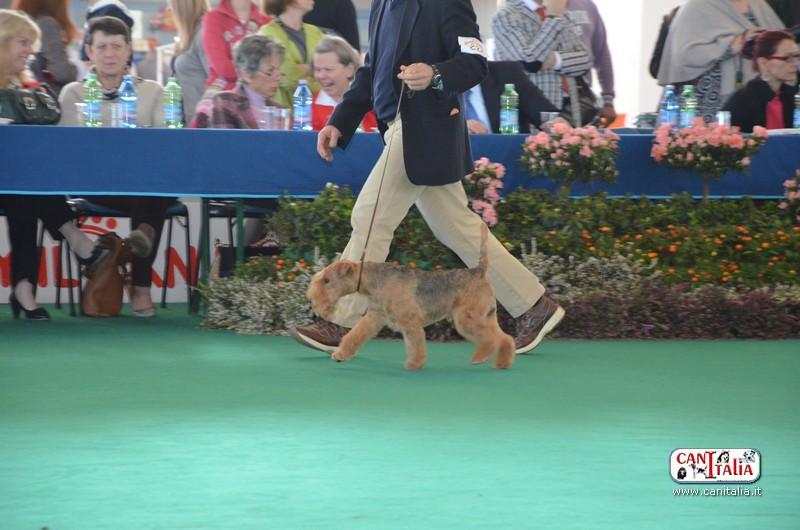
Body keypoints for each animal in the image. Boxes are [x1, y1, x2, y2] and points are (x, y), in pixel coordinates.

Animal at [305, 224, 516, 370]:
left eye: (327, 280)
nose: (311, 299)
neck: (375, 280)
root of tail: (479, 271)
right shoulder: (374, 317)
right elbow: (354, 335)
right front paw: (341, 354)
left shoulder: (410, 321)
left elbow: (415, 344)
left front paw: (414, 364)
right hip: (485, 316)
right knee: (504, 338)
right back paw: (502, 362)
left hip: (467, 319)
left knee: (490, 339)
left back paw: (480, 357)